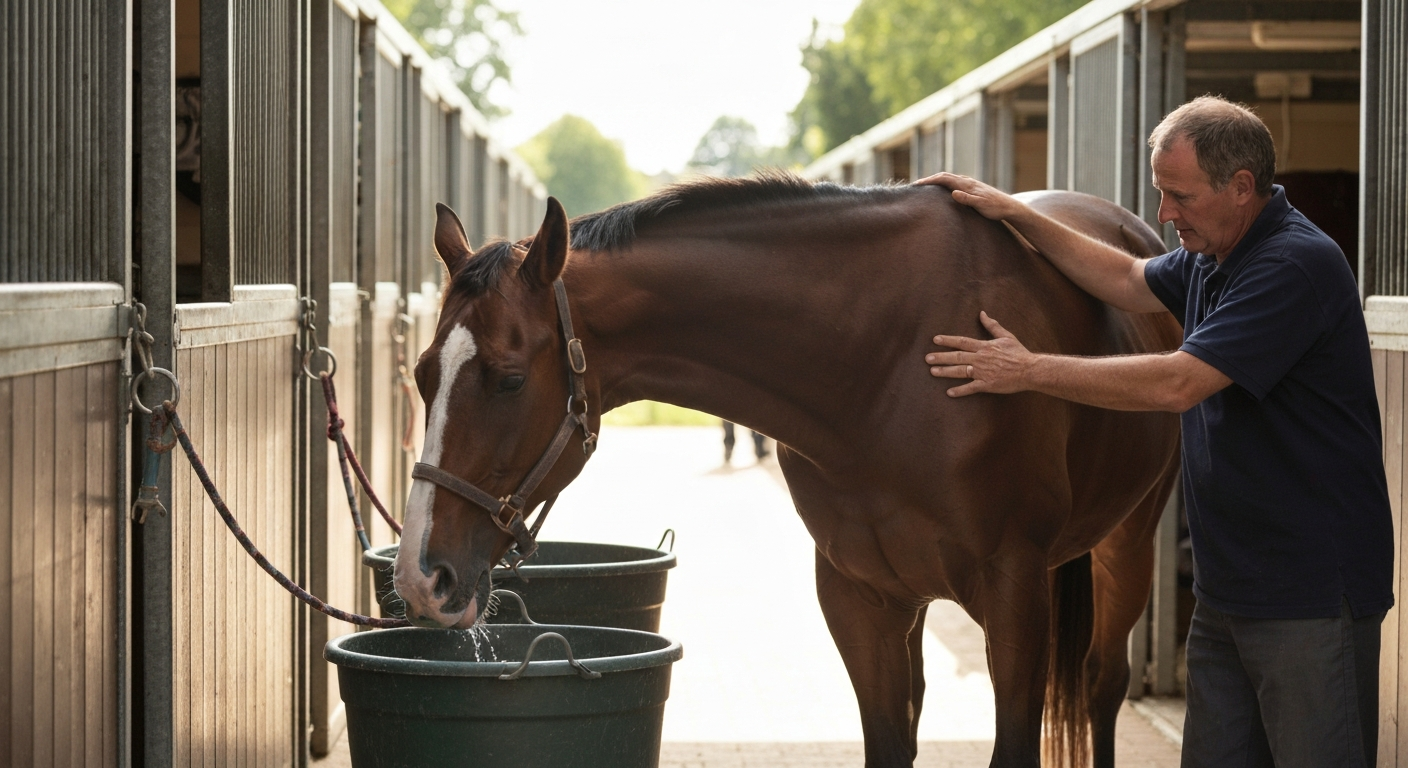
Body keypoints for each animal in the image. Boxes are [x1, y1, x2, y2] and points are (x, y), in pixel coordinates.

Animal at [392, 173, 1181, 768]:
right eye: (423, 374)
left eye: (509, 380)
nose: (423, 578)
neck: (888, 361)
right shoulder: (858, 596)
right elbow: (889, 743)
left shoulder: (1014, 595)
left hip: (1127, 544)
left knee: (1101, 684)